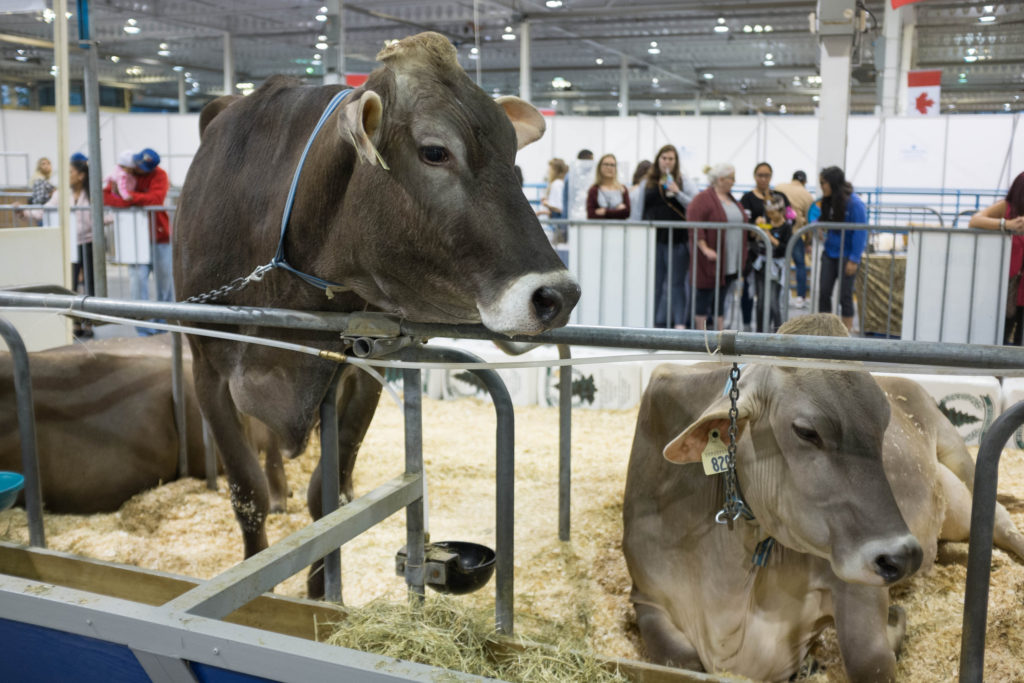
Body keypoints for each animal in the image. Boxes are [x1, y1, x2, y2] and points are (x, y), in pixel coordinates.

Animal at [173, 32, 579, 597]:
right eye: (435, 151)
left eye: (514, 158)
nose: (557, 295)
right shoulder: (207, 366)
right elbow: (245, 492)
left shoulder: (365, 369)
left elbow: (327, 500)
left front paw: (322, 596)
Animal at [622, 313, 1024, 682]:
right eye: (806, 431)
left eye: (883, 426)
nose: (902, 556)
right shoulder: (647, 597)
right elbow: (679, 663)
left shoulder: (857, 587)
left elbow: (869, 660)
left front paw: (892, 628)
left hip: (962, 466)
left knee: (1001, 521)